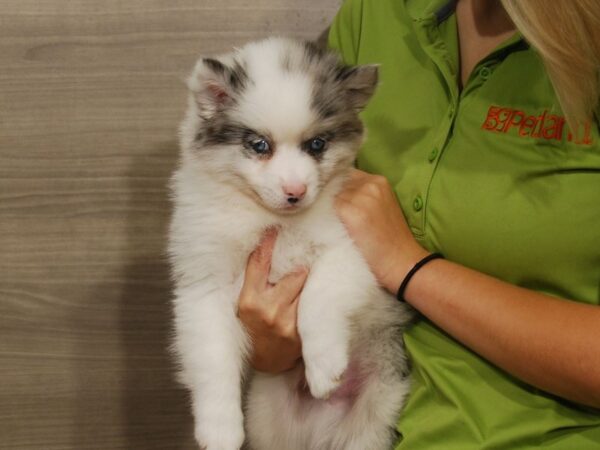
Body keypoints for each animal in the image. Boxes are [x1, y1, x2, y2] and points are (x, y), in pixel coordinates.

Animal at [169, 37, 412, 448]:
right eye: (259, 145)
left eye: (316, 144)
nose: (295, 192)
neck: (272, 220)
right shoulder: (204, 282)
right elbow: (213, 359)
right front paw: (220, 430)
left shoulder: (352, 250)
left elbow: (318, 297)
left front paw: (324, 366)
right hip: (267, 416)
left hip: (375, 413)